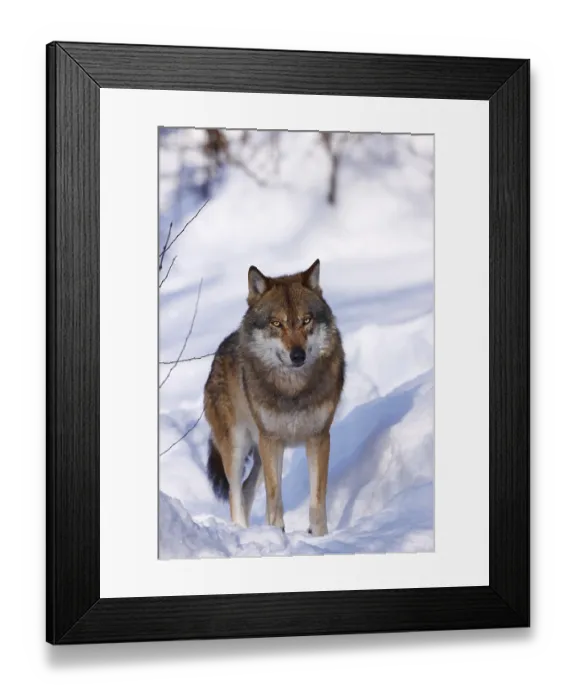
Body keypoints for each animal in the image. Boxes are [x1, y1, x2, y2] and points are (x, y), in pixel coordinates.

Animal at [203, 259, 345, 536]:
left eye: (306, 320)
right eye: (277, 324)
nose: (298, 355)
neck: (293, 391)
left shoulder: (319, 438)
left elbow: (317, 500)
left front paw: (320, 537)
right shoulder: (272, 441)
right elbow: (275, 499)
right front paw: (278, 533)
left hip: (259, 453)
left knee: (247, 490)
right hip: (238, 447)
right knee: (236, 495)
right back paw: (241, 532)